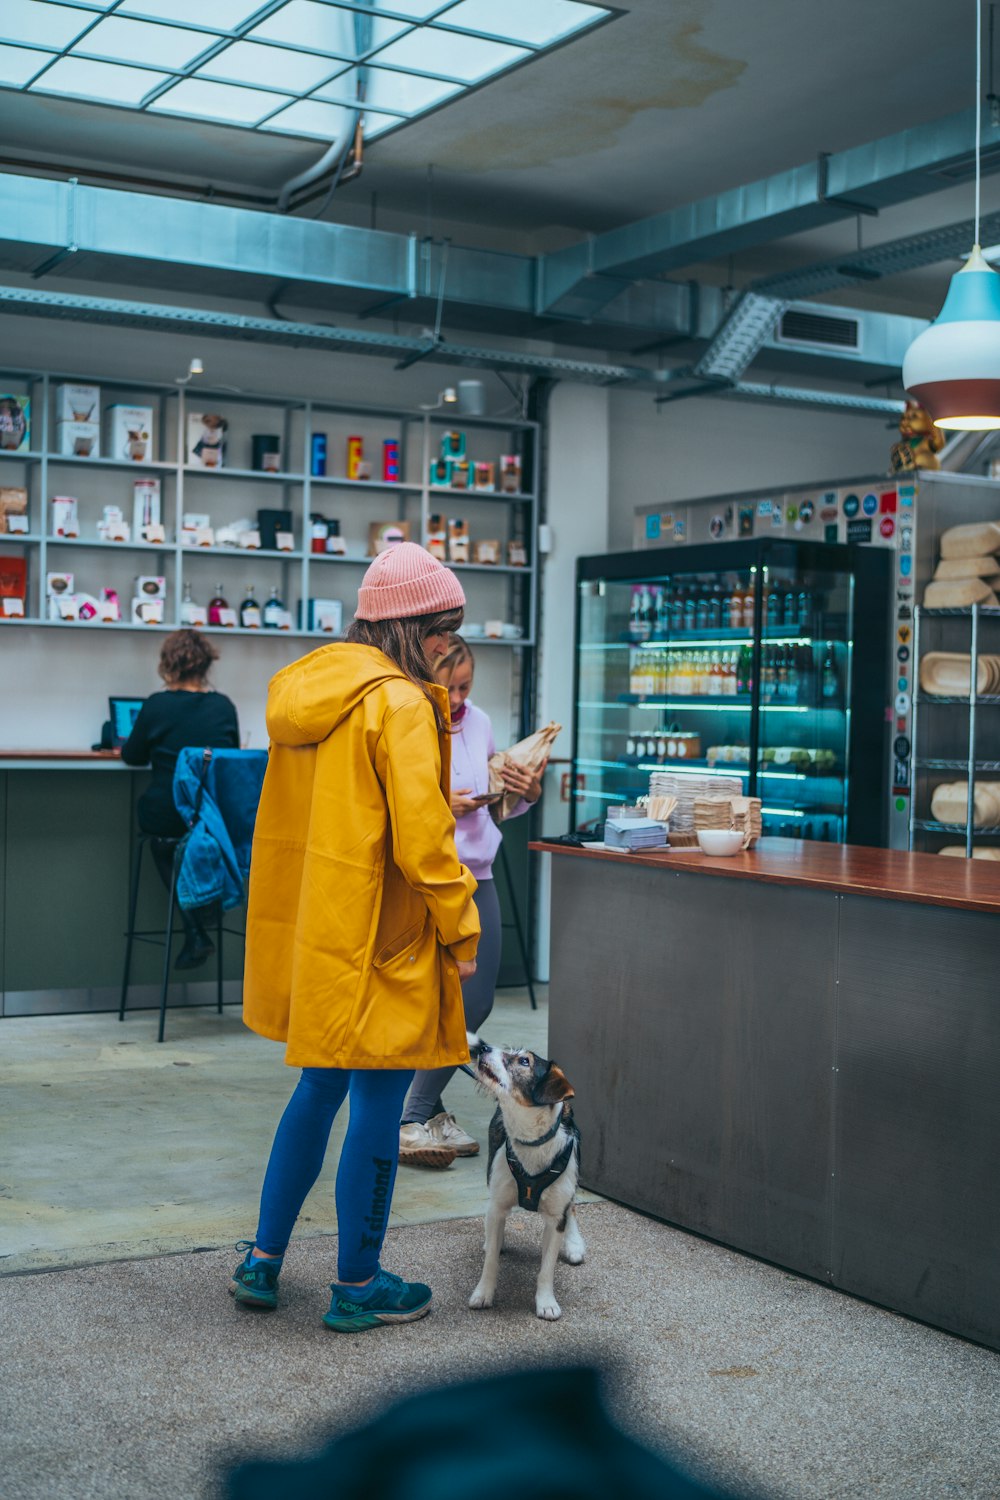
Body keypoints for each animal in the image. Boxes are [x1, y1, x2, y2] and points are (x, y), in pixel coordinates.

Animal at [470, 1038, 587, 1320]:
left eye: (524, 1061)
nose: (483, 1048)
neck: (531, 1140)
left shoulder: (556, 1217)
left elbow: (546, 1269)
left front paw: (546, 1302)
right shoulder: (499, 1202)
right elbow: (491, 1261)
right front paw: (483, 1293)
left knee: (572, 1207)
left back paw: (574, 1243)